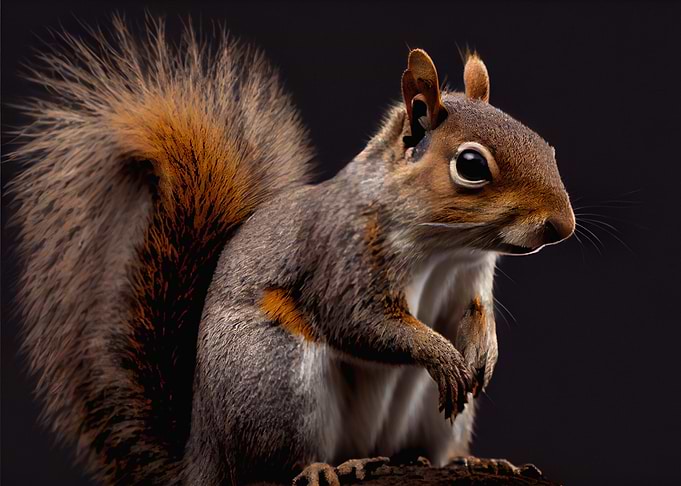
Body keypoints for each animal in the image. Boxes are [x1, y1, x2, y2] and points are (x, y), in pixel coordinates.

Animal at [9, 17, 575, 486]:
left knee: (431, 449)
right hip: (274, 376)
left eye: (543, 144)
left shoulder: (472, 276)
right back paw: (330, 466)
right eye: (471, 166)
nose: (562, 226)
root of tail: (202, 455)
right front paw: (443, 355)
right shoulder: (341, 256)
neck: (447, 248)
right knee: (276, 464)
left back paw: (474, 460)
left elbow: (475, 314)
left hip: (421, 420)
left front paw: (483, 354)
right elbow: (359, 320)